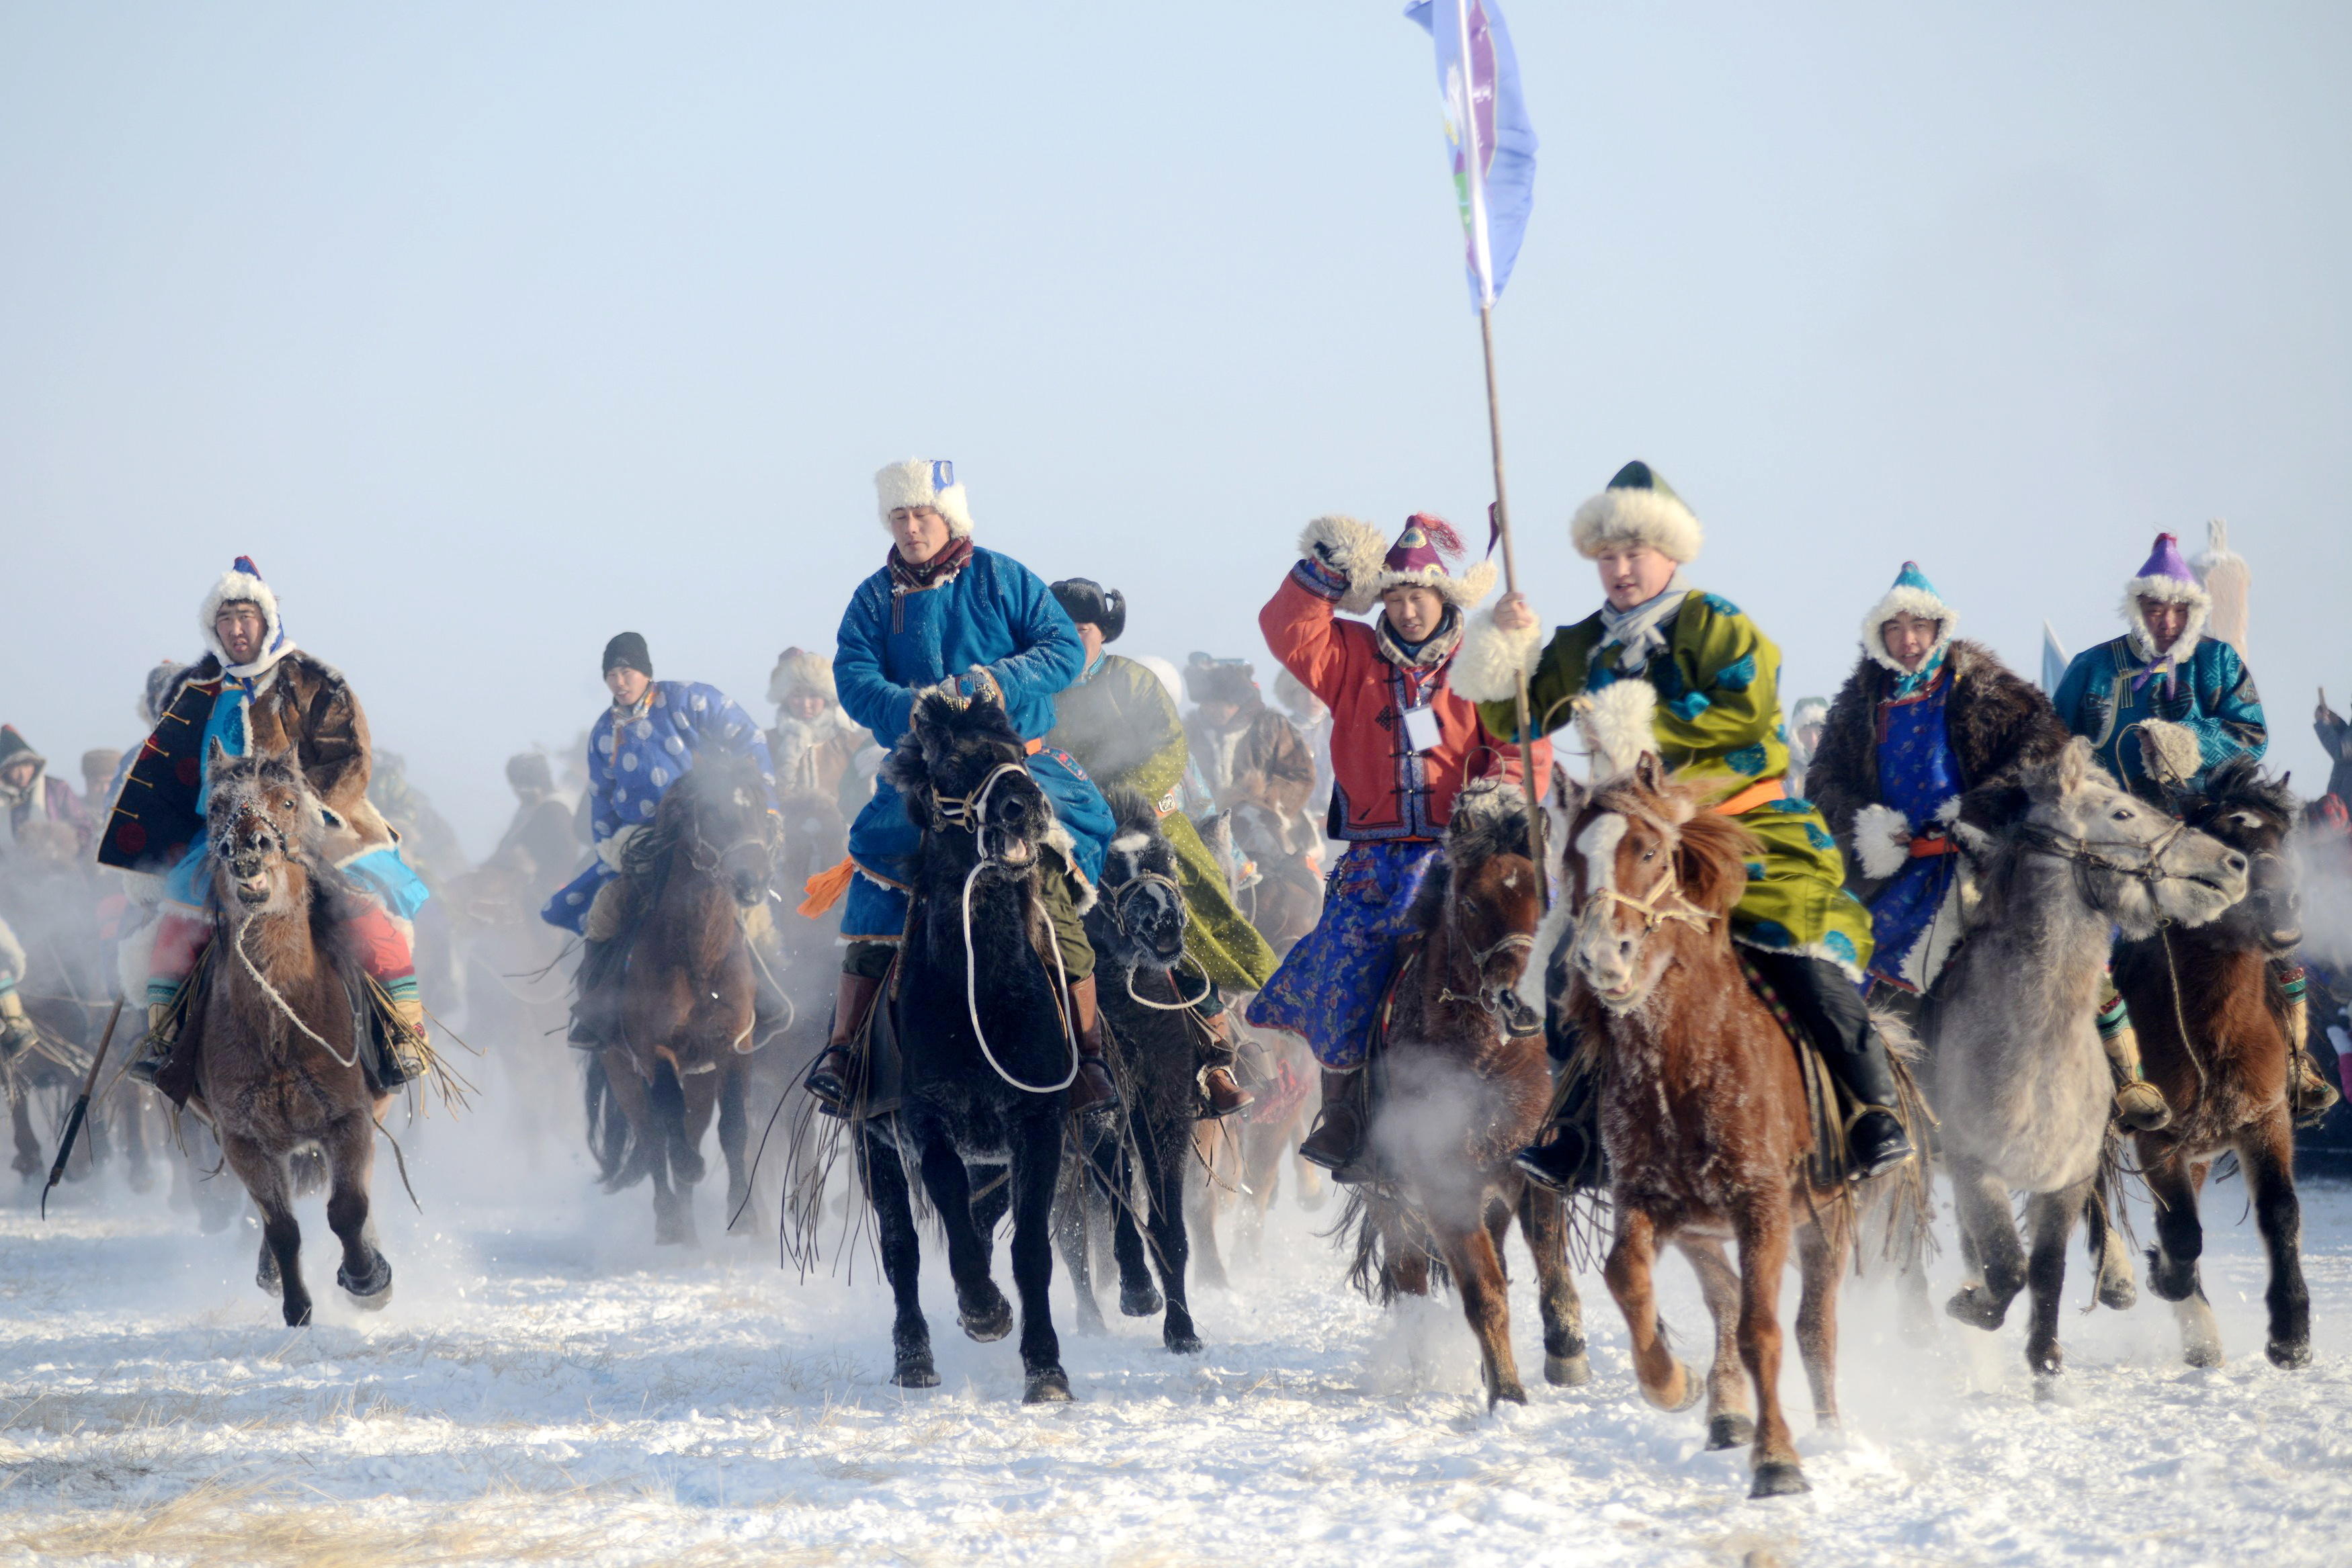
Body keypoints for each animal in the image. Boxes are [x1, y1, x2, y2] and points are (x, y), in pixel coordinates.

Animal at [583, 752, 776, 1241]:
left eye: (756, 806)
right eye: (710, 810)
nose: (751, 881)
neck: (698, 960)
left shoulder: (735, 1046)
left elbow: (734, 1127)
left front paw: (744, 1214)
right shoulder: (654, 1051)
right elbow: (668, 1123)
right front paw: (689, 1171)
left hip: (701, 1078)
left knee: (691, 1126)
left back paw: (687, 1225)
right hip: (622, 1072)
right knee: (653, 1136)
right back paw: (671, 1222)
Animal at [861, 691, 1087, 1401]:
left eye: (1019, 754)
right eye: (951, 764)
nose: (1025, 805)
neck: (978, 993)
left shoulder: (1036, 1123)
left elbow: (1029, 1250)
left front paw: (1045, 1367)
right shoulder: (924, 1121)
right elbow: (950, 1224)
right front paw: (984, 1311)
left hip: (992, 1157)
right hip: (874, 1145)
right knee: (901, 1247)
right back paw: (914, 1357)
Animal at [1068, 789, 1214, 1354]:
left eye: (1165, 857)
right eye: (1107, 869)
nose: (1165, 919)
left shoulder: (1165, 1114)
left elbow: (1168, 1228)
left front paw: (1183, 1330)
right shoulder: (1096, 1116)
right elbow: (1118, 1207)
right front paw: (1138, 1292)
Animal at [1336, 785, 1590, 1410]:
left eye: (1544, 902)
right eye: (1472, 906)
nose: (1523, 1004)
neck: (1486, 1064)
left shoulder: (1530, 1170)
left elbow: (1549, 1262)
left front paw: (1566, 1349)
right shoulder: (1442, 1188)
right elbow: (1483, 1291)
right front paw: (1508, 1392)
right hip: (1389, 1197)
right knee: (1410, 1277)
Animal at [2117, 756, 2314, 1363]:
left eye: (2282, 837)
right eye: (2226, 845)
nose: (2283, 904)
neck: (2217, 1035)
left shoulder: (2265, 1121)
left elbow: (2281, 1212)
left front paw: (2291, 1332)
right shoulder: (2157, 1138)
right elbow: (2183, 1232)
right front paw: (2168, 1280)